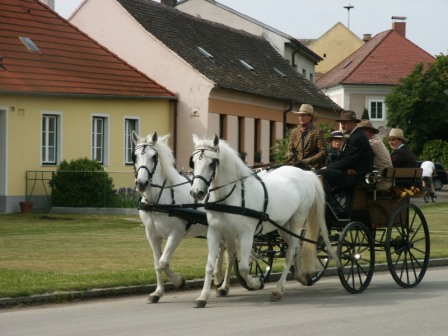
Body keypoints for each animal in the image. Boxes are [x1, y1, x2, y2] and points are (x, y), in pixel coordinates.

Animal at [131, 132, 234, 304]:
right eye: (134, 156)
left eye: (154, 156)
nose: (141, 183)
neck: (158, 199)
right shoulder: (152, 235)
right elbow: (157, 263)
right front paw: (158, 292)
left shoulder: (176, 233)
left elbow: (163, 262)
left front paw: (179, 281)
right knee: (221, 248)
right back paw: (218, 276)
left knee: (231, 254)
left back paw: (225, 286)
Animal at [190, 134, 340, 308]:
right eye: (193, 162)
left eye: (212, 162)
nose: (197, 192)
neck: (231, 196)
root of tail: (306, 173)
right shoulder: (215, 232)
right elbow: (210, 265)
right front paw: (203, 296)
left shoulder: (246, 235)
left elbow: (243, 268)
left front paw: (255, 283)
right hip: (283, 225)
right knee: (295, 248)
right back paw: (300, 276)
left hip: (297, 220)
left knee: (290, 253)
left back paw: (278, 290)